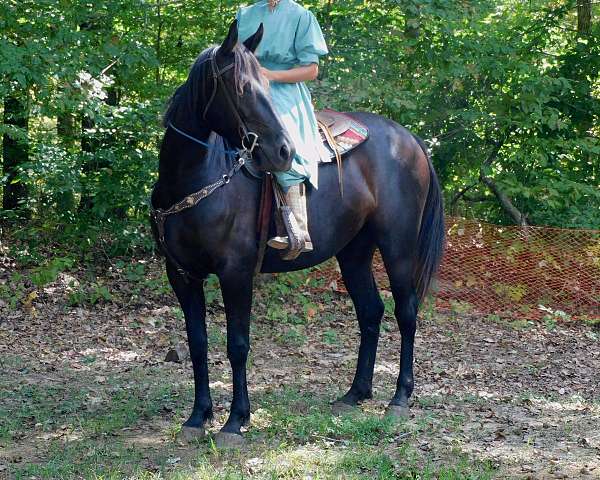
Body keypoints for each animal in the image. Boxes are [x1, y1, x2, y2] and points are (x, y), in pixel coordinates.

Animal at [152, 20, 442, 448]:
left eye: (266, 85)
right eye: (241, 87)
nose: (283, 151)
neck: (196, 179)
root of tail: (409, 139)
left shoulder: (236, 273)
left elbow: (237, 345)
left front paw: (235, 421)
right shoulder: (182, 275)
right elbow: (198, 343)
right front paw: (197, 417)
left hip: (398, 246)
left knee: (406, 312)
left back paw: (400, 398)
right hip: (354, 251)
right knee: (370, 311)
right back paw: (355, 394)